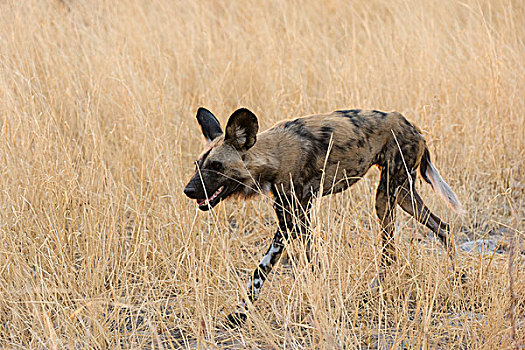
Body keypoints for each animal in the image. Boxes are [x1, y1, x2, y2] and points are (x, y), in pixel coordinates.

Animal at [184, 106, 462, 326]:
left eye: (216, 166)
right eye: (198, 165)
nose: (188, 191)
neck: (273, 155)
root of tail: (412, 125)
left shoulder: (288, 222)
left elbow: (260, 271)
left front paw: (240, 315)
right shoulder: (299, 216)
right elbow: (312, 262)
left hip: (386, 197)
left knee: (391, 252)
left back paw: (377, 290)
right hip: (403, 194)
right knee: (444, 228)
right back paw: (458, 277)